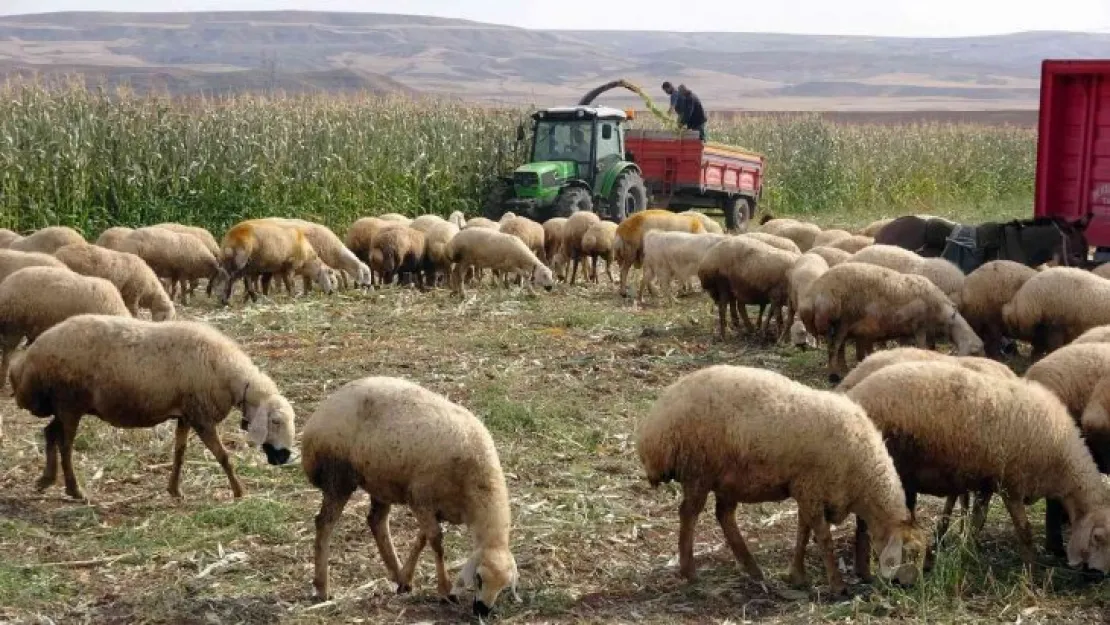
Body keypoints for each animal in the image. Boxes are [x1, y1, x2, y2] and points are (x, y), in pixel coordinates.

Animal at [8, 315, 295, 501]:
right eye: (275, 421)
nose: (284, 458)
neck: (230, 376)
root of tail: (27, 361)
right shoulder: (202, 417)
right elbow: (223, 456)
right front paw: (239, 491)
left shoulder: (186, 414)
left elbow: (179, 453)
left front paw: (175, 490)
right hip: (69, 402)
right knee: (65, 445)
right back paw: (75, 490)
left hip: (65, 406)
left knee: (50, 433)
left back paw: (46, 480)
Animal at [297, 377, 517, 617]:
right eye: (478, 578)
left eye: (504, 586)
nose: (482, 611)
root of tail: (318, 414)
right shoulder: (420, 498)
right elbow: (436, 542)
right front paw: (444, 590)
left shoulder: (434, 507)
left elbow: (422, 539)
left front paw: (407, 578)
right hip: (338, 477)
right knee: (324, 523)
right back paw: (322, 587)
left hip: (379, 479)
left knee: (376, 521)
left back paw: (397, 574)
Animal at [634, 364, 919, 595]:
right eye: (908, 554)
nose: (904, 585)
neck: (864, 477)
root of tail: (654, 426)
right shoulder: (811, 488)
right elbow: (823, 538)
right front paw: (837, 585)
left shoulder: (807, 491)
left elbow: (803, 531)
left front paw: (798, 577)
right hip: (698, 470)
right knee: (689, 514)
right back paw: (690, 572)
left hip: (728, 477)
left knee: (724, 516)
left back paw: (752, 569)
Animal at [808, 263, 981, 381]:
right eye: (975, 352)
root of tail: (818, 289)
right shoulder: (919, 326)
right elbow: (922, 346)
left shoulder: (907, 328)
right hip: (841, 321)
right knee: (834, 347)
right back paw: (833, 375)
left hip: (839, 324)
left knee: (839, 347)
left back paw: (843, 370)